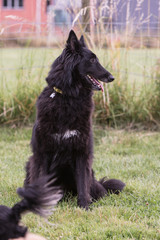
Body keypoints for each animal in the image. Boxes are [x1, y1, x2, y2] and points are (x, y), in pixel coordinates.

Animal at [24, 30, 125, 210]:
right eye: (92, 60)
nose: (112, 77)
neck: (69, 98)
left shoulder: (82, 151)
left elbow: (82, 183)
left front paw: (84, 206)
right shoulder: (42, 152)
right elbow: (40, 179)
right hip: (30, 162)